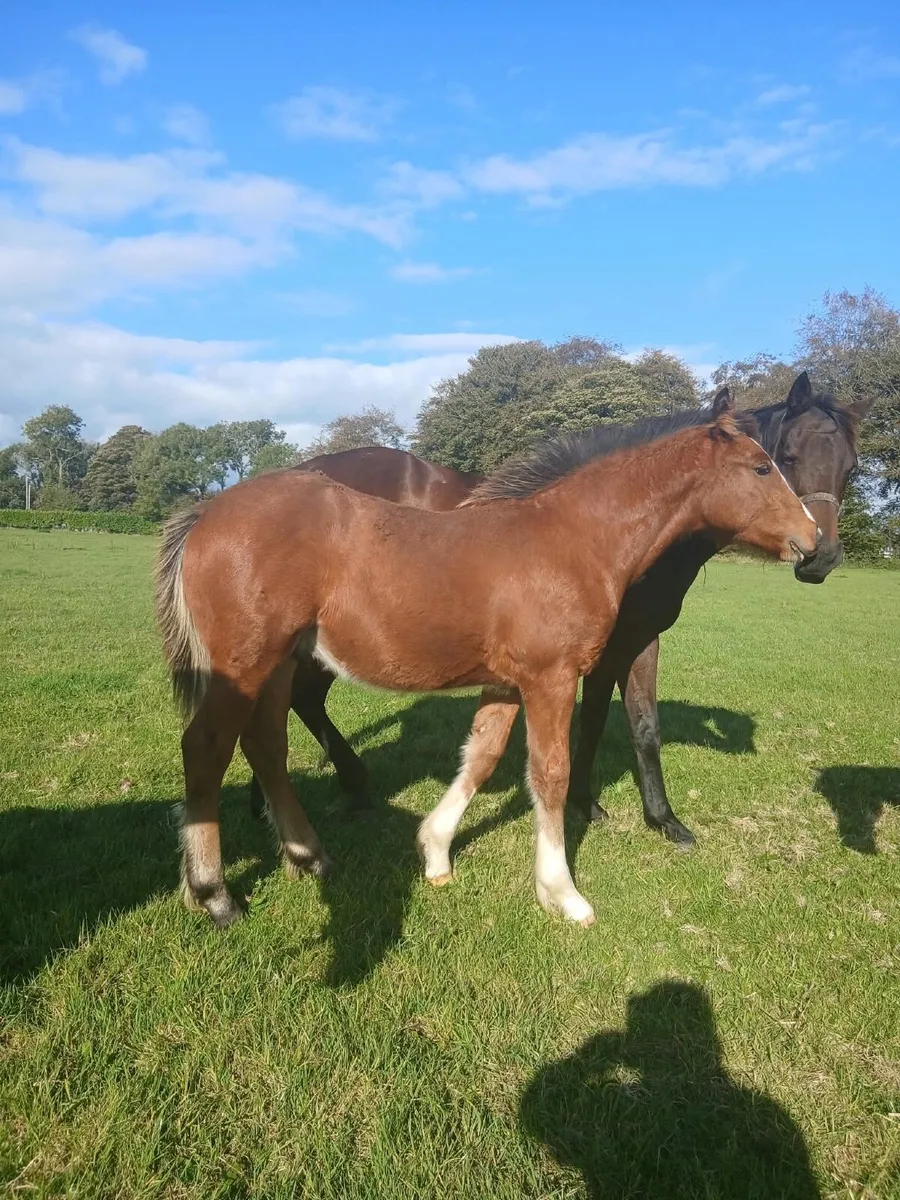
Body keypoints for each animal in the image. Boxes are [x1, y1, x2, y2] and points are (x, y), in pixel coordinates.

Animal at [156, 391, 818, 929]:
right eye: (763, 466)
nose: (814, 543)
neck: (571, 537)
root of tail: (207, 512)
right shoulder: (551, 678)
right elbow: (549, 774)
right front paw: (562, 893)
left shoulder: (506, 681)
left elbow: (481, 755)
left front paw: (435, 852)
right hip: (244, 666)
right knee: (207, 749)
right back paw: (214, 894)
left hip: (277, 667)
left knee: (266, 745)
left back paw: (309, 856)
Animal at [251, 372, 867, 848]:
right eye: (784, 459)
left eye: (851, 467)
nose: (821, 555)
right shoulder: (623, 642)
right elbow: (625, 723)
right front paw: (624, 811)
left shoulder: (619, 644)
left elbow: (616, 722)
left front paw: (623, 810)